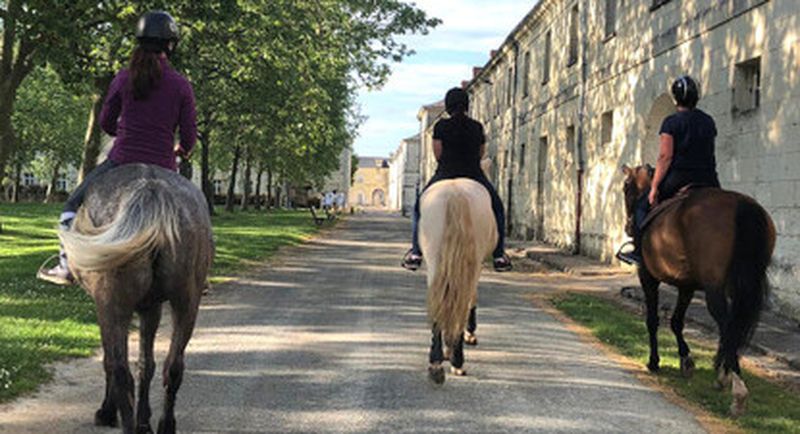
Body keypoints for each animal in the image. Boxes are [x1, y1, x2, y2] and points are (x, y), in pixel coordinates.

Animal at [60, 164, 213, 434]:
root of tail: (151, 189)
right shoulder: (151, 307)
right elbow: (146, 363)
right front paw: (144, 420)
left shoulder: (105, 307)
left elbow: (111, 361)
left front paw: (108, 412)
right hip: (187, 301)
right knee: (173, 366)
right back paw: (165, 425)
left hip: (112, 304)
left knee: (120, 370)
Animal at [418, 178, 497, 385]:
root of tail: (456, 193)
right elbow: (471, 300)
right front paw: (466, 337)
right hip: (470, 266)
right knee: (460, 305)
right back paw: (455, 360)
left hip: (435, 262)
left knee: (440, 304)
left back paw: (437, 364)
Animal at [620, 165, 775, 416]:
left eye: (626, 187)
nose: (628, 226)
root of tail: (741, 204)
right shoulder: (687, 286)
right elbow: (676, 321)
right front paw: (686, 360)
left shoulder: (648, 277)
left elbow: (653, 320)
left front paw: (654, 361)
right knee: (731, 325)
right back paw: (724, 375)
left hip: (714, 288)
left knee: (726, 324)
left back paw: (736, 388)